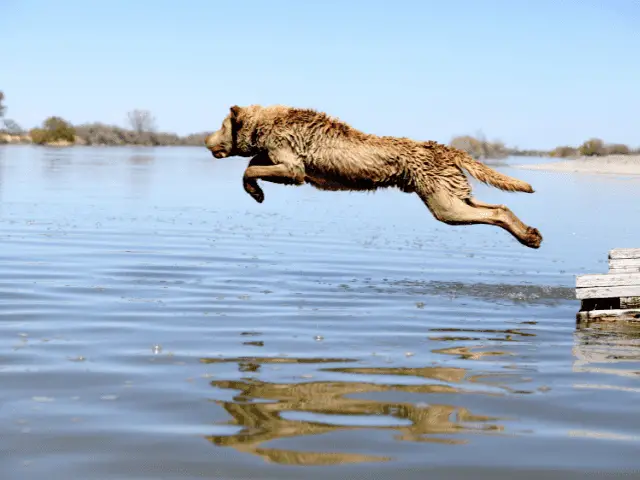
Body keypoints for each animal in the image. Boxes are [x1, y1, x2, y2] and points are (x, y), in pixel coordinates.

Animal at [206, 104, 544, 248]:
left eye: (222, 125)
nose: (207, 141)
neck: (265, 123)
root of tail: (446, 149)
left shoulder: (293, 169)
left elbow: (250, 167)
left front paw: (256, 192)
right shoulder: (278, 159)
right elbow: (254, 161)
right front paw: (256, 189)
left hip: (444, 205)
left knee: (495, 213)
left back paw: (529, 238)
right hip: (452, 194)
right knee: (500, 208)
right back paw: (531, 236)